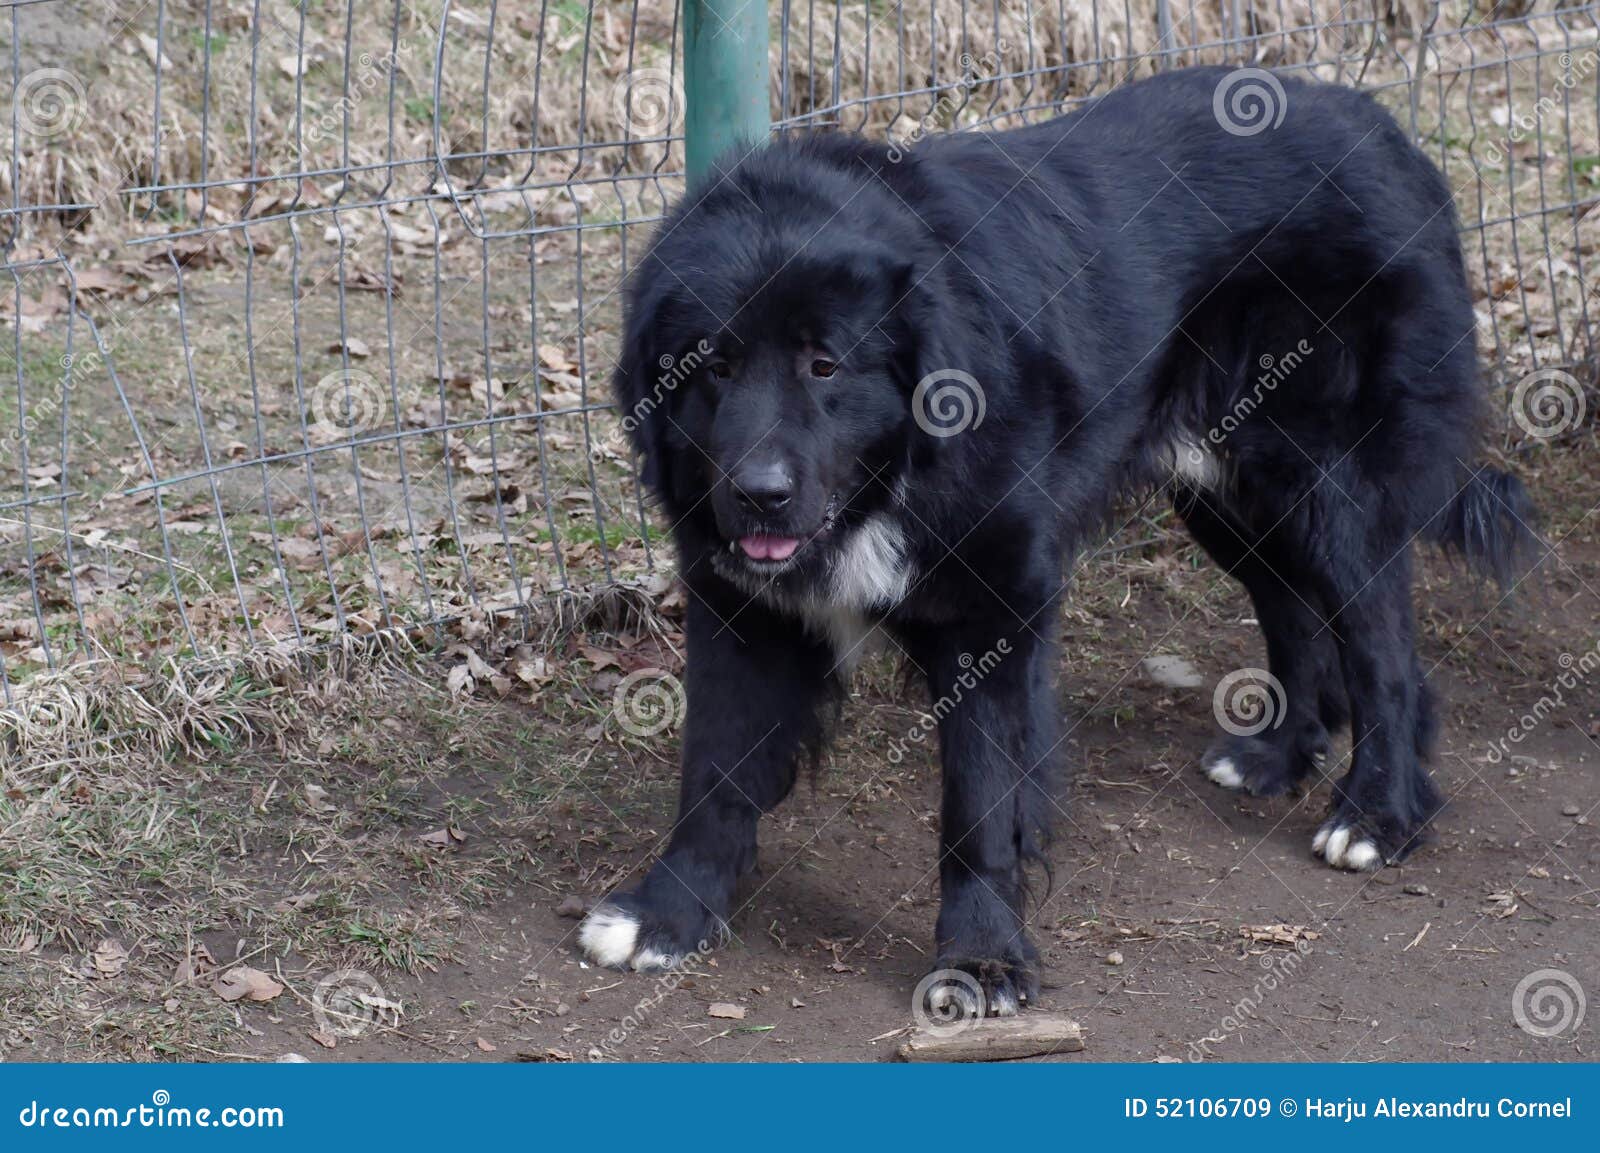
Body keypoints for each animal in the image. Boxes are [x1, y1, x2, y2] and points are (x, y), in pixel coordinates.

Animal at [579, 67, 1536, 1010]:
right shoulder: (742, 609)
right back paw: (1278, 756)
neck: (899, 467)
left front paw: (980, 960)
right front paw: (668, 914)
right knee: (1294, 610)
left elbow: (979, 802)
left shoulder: (997, 607)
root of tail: (1390, 132)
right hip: (1230, 493)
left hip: (1330, 484)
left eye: (825, 365)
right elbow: (715, 768)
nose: (760, 494)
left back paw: (1377, 816)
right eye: (712, 367)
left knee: (1384, 651)